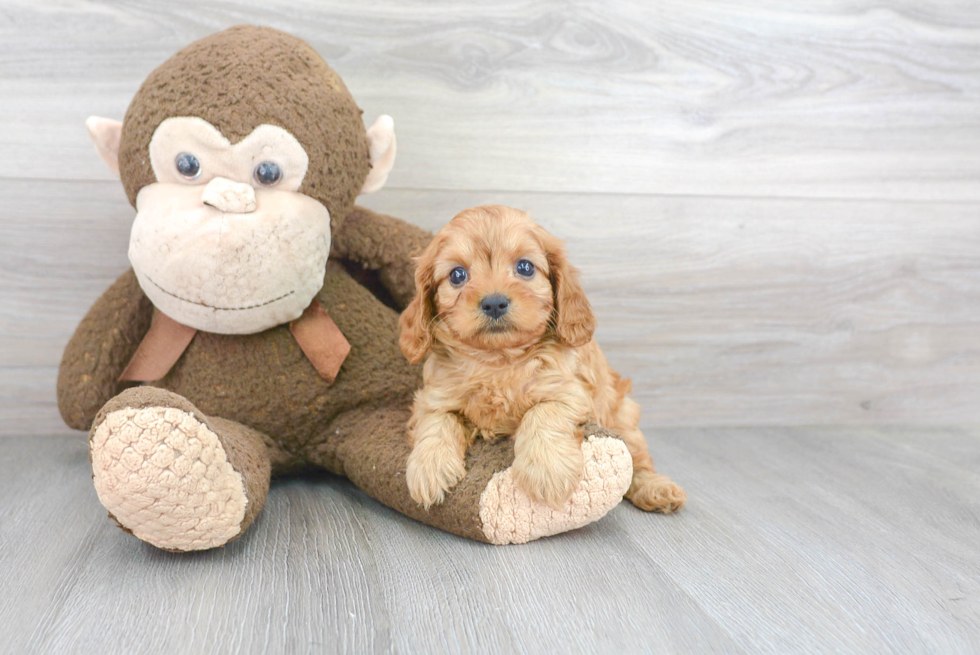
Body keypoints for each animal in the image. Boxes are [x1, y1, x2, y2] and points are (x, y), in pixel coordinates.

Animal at [396, 208, 680, 516]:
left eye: (525, 268)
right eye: (457, 275)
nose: (494, 303)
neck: (499, 360)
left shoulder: (568, 392)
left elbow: (542, 412)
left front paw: (547, 471)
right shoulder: (433, 398)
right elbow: (436, 423)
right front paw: (428, 468)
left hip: (623, 415)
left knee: (638, 459)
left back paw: (657, 489)